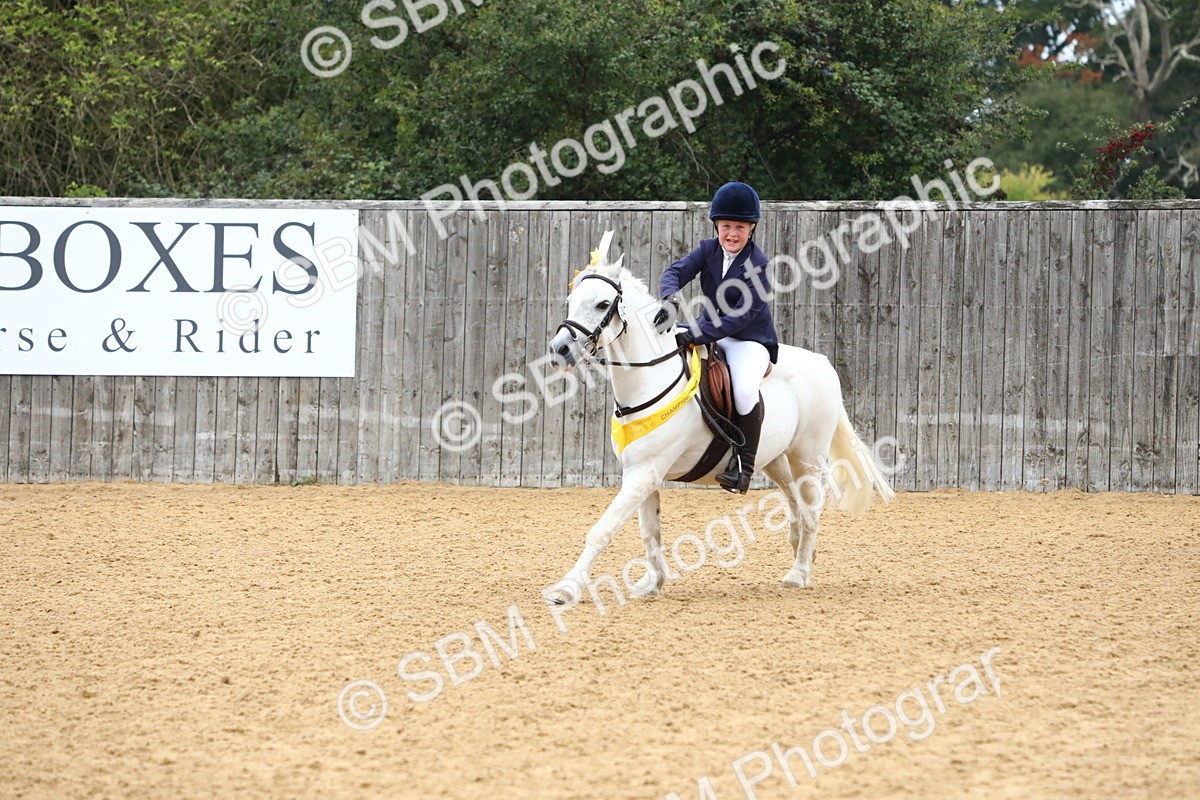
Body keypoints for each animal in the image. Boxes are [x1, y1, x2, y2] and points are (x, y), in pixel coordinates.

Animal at [544, 231, 895, 605]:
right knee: (796, 502)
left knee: (811, 509)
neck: (650, 377)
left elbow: (603, 530)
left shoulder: (644, 473)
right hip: (776, 459)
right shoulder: (640, 473)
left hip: (808, 456)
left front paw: (565, 589)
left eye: (601, 304)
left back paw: (799, 574)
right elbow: (650, 531)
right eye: (571, 300)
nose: (559, 350)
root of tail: (823, 363)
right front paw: (652, 584)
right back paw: (801, 554)